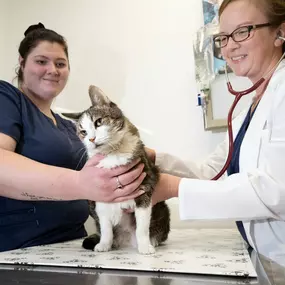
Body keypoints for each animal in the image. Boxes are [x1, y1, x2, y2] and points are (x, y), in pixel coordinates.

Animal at [62, 84, 169, 253]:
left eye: (98, 122)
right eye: (83, 132)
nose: (91, 139)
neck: (113, 153)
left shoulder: (145, 184)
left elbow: (142, 224)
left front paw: (145, 245)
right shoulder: (99, 191)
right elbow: (105, 225)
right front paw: (104, 243)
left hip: (163, 211)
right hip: (90, 203)